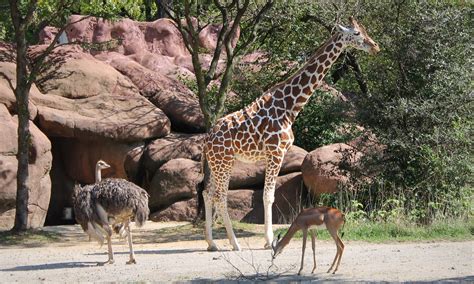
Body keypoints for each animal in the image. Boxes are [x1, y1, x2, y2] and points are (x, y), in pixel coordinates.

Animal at [202, 16, 380, 251]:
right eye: (357, 33)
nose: (375, 46)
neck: (290, 107)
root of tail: (206, 140)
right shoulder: (275, 152)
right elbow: (268, 196)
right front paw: (269, 241)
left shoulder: (275, 154)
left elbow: (268, 195)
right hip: (224, 163)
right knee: (220, 197)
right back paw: (235, 243)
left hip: (219, 163)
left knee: (207, 193)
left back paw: (212, 243)